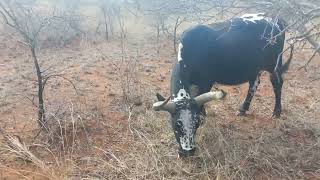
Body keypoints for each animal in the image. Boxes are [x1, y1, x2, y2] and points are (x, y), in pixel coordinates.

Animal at [151, 12, 294, 157]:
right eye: (176, 124)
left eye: (196, 124)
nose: (188, 152)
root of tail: (274, 17)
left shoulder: (206, 81)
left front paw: (203, 115)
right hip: (254, 68)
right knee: (254, 84)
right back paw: (243, 109)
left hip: (274, 65)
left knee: (277, 83)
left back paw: (276, 112)